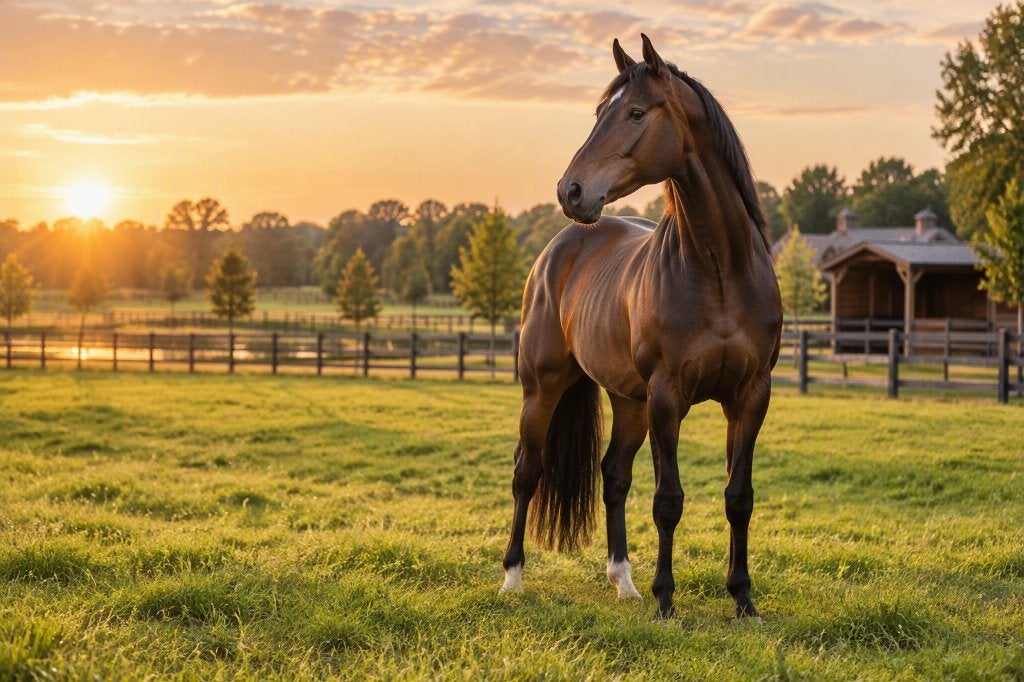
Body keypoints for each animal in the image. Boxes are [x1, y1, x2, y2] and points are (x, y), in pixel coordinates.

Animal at [499, 34, 782, 620]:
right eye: (599, 113)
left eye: (634, 112)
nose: (570, 191)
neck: (721, 270)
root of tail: (561, 245)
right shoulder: (668, 396)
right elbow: (668, 500)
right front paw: (666, 601)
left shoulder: (751, 395)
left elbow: (738, 498)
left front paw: (743, 600)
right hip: (543, 389)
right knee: (527, 471)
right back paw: (513, 577)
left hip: (629, 401)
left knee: (613, 476)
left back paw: (622, 579)